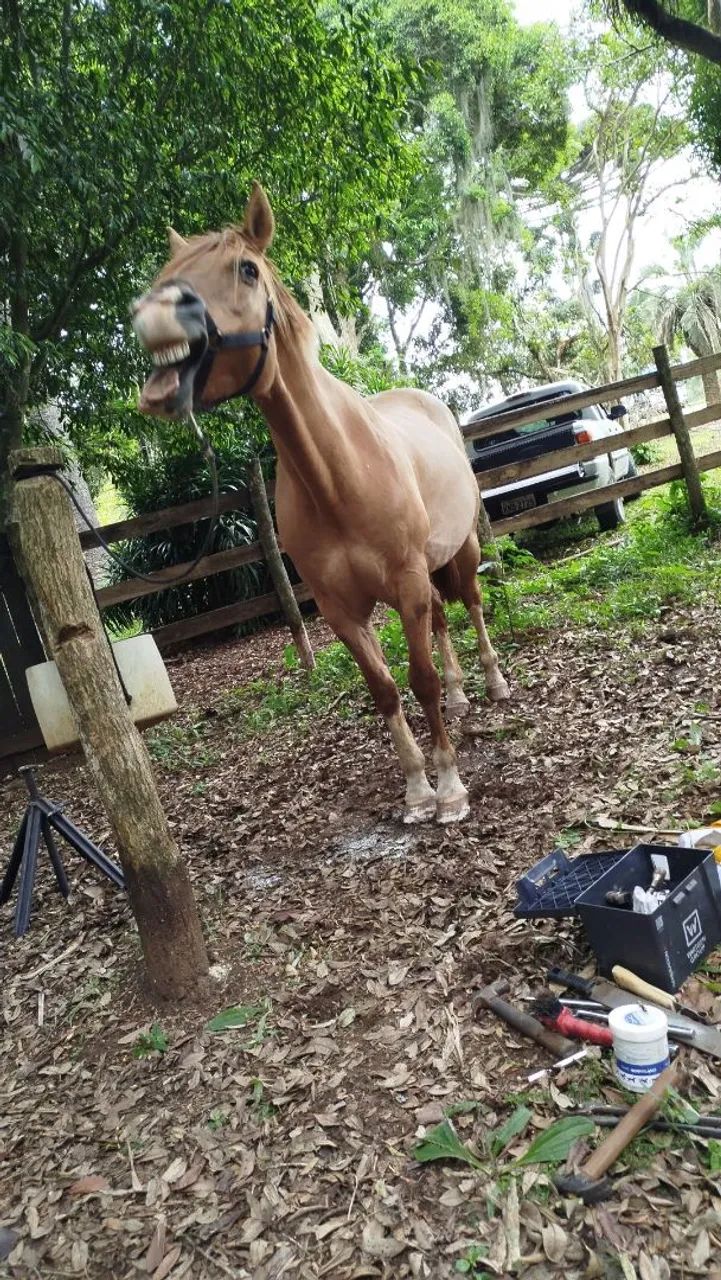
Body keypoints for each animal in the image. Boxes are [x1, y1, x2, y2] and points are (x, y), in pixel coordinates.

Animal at [131, 182, 508, 824]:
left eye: (247, 268)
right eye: (165, 272)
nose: (154, 316)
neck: (339, 477)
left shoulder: (405, 582)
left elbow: (421, 679)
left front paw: (450, 788)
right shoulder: (338, 609)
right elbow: (384, 688)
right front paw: (416, 789)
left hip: (459, 550)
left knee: (472, 605)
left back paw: (492, 682)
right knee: (441, 615)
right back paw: (462, 696)